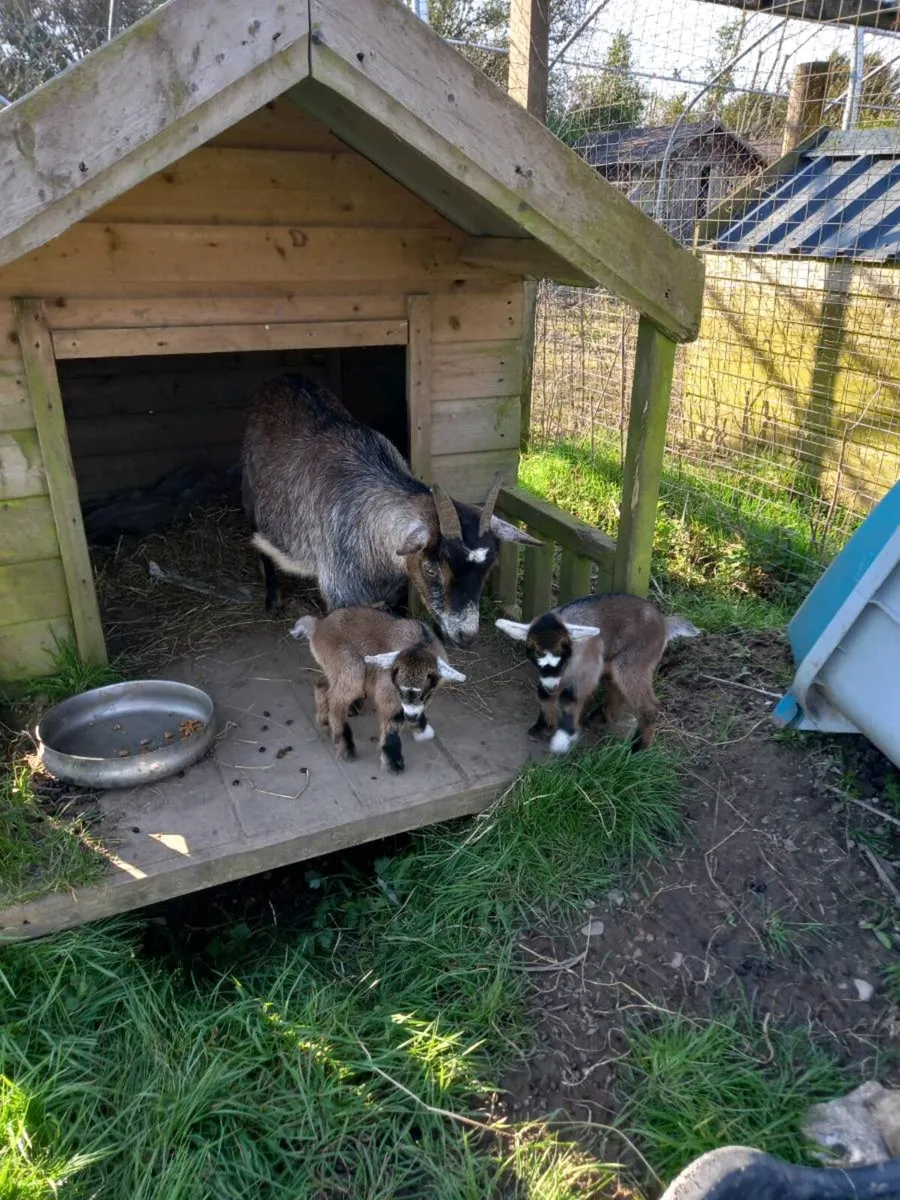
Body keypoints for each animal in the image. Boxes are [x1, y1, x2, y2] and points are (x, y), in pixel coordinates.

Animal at [241, 375, 541, 647]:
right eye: (431, 568)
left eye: (490, 567)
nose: (465, 637)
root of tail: (282, 378)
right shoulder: (340, 594)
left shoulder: (396, 596)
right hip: (252, 498)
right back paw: (272, 599)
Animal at [290, 607, 466, 773]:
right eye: (400, 690)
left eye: (424, 693)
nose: (410, 717)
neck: (419, 644)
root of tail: (319, 626)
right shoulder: (389, 688)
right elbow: (392, 717)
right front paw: (393, 762)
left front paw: (421, 728)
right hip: (348, 662)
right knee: (338, 698)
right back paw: (344, 744)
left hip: (333, 665)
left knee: (324, 684)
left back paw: (324, 718)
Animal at [496, 594, 700, 754]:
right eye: (534, 656)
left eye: (562, 654)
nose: (552, 687)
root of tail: (663, 622)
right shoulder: (555, 677)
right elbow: (543, 693)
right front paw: (543, 727)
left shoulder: (587, 670)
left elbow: (570, 697)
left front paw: (563, 738)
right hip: (612, 661)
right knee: (616, 689)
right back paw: (600, 719)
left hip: (635, 658)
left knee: (647, 703)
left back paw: (638, 749)